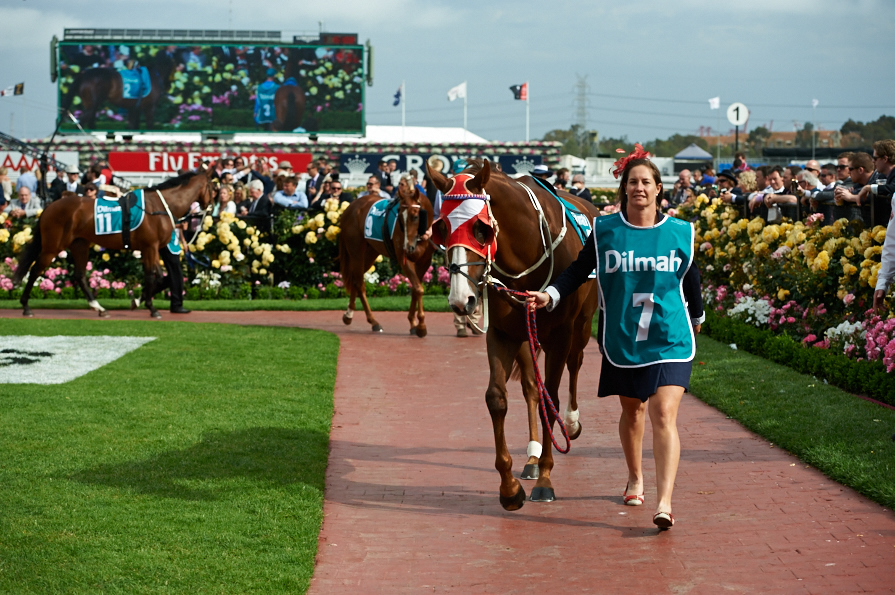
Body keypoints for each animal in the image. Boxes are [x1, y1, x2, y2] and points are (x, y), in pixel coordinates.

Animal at [15, 165, 217, 318]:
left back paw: (99, 308)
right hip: (52, 246)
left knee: (79, 275)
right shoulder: (150, 247)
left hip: (80, 244)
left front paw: (138, 301)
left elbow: (160, 277)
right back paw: (25, 306)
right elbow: (151, 276)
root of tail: (49, 207)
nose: (211, 206)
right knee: (35, 270)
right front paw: (152, 308)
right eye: (213, 187)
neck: (159, 207)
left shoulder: (153, 248)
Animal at [57, 41, 364, 134]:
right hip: (93, 101)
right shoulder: (147, 108)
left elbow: (136, 123)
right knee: (87, 119)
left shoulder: (139, 108)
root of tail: (85, 73)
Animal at [338, 176, 436, 336]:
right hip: (356, 250)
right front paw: (421, 326)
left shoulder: (424, 262)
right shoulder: (405, 260)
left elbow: (416, 289)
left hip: (371, 252)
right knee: (359, 283)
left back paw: (348, 315)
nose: (408, 247)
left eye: (415, 216)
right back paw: (373, 321)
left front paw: (413, 323)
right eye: (400, 218)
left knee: (355, 279)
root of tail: (350, 207)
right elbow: (418, 289)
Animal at [428, 159, 600, 512]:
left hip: (582, 326)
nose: (461, 299)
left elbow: (552, 399)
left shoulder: (560, 335)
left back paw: (571, 423)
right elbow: (497, 398)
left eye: (481, 229)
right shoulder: (503, 333)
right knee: (532, 386)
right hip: (525, 337)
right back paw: (532, 457)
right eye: (442, 229)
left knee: (575, 364)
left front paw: (546, 479)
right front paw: (509, 488)